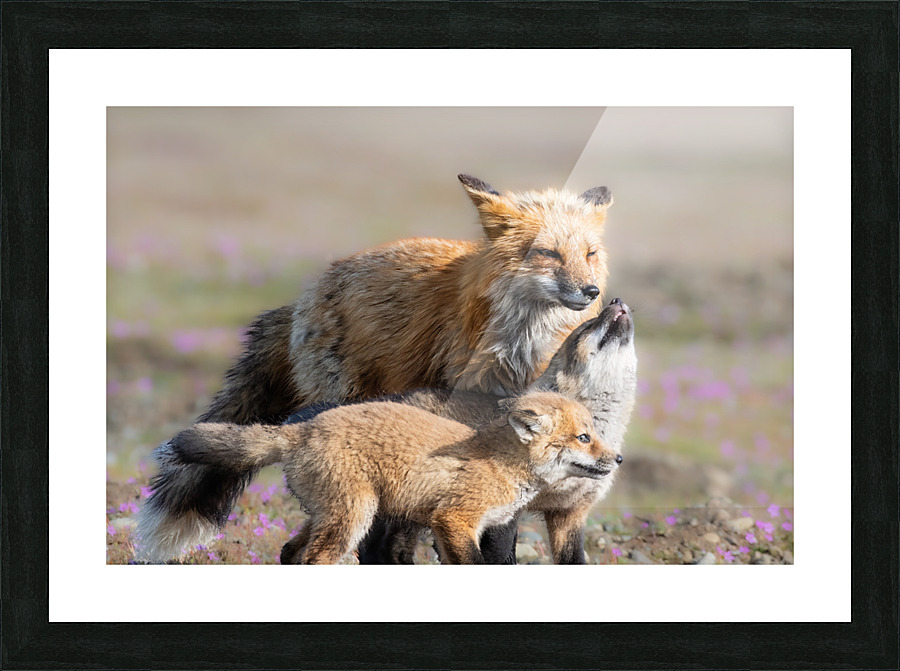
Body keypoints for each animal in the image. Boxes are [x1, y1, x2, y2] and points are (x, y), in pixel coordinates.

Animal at [155, 392, 617, 564]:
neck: (500, 461)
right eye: (584, 437)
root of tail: (304, 428)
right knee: (312, 559)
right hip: (354, 517)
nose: (618, 458)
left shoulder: (456, 527)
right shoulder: (454, 520)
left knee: (289, 552)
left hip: (331, 514)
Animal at [282, 297, 637, 565]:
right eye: (586, 327)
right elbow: (499, 558)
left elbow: (573, 561)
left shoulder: (570, 515)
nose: (617, 300)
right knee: (374, 550)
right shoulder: (502, 509)